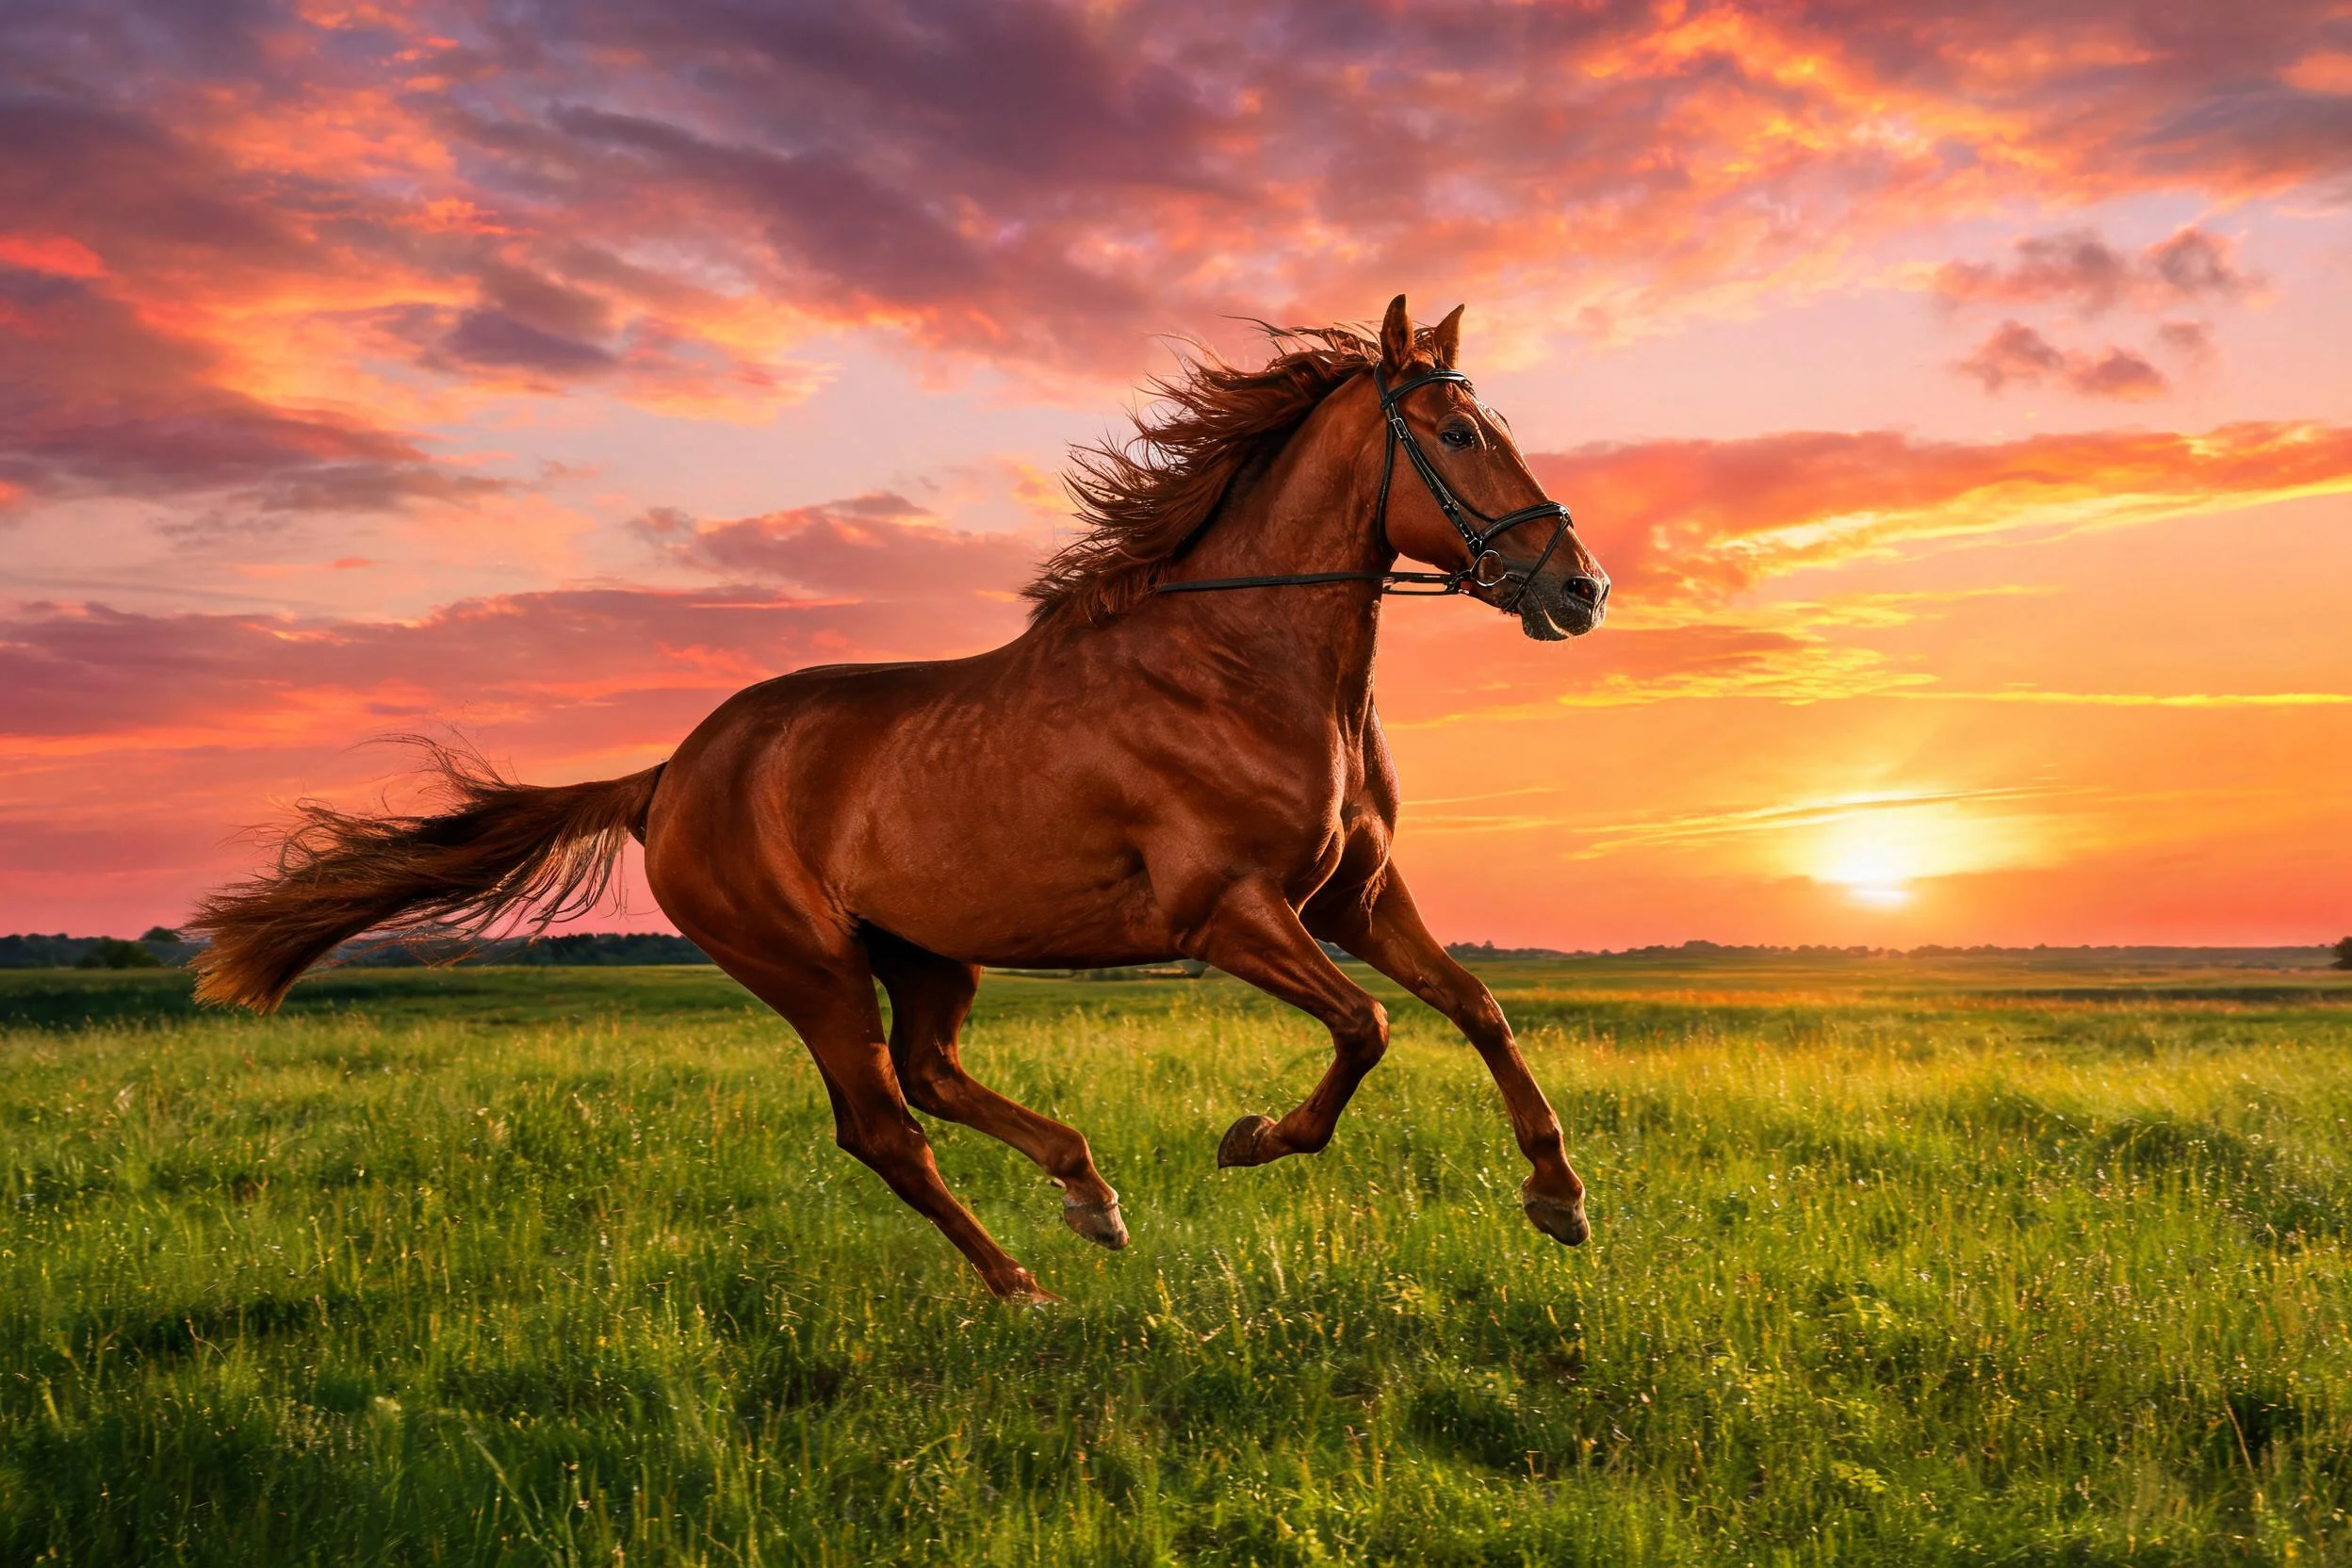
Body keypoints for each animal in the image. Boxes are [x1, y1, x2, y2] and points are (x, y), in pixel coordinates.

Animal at [190, 296, 1612, 1303]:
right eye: (1458, 435)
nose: (1580, 587)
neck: (1242, 664)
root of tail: (668, 775)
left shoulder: (1354, 895)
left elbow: (1476, 1006)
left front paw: (1559, 1197)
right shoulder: (1226, 914)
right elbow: (1367, 1030)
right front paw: (1250, 1137)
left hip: (927, 950)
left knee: (929, 1076)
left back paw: (1086, 1191)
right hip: (810, 966)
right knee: (881, 1124)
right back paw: (1025, 1280)